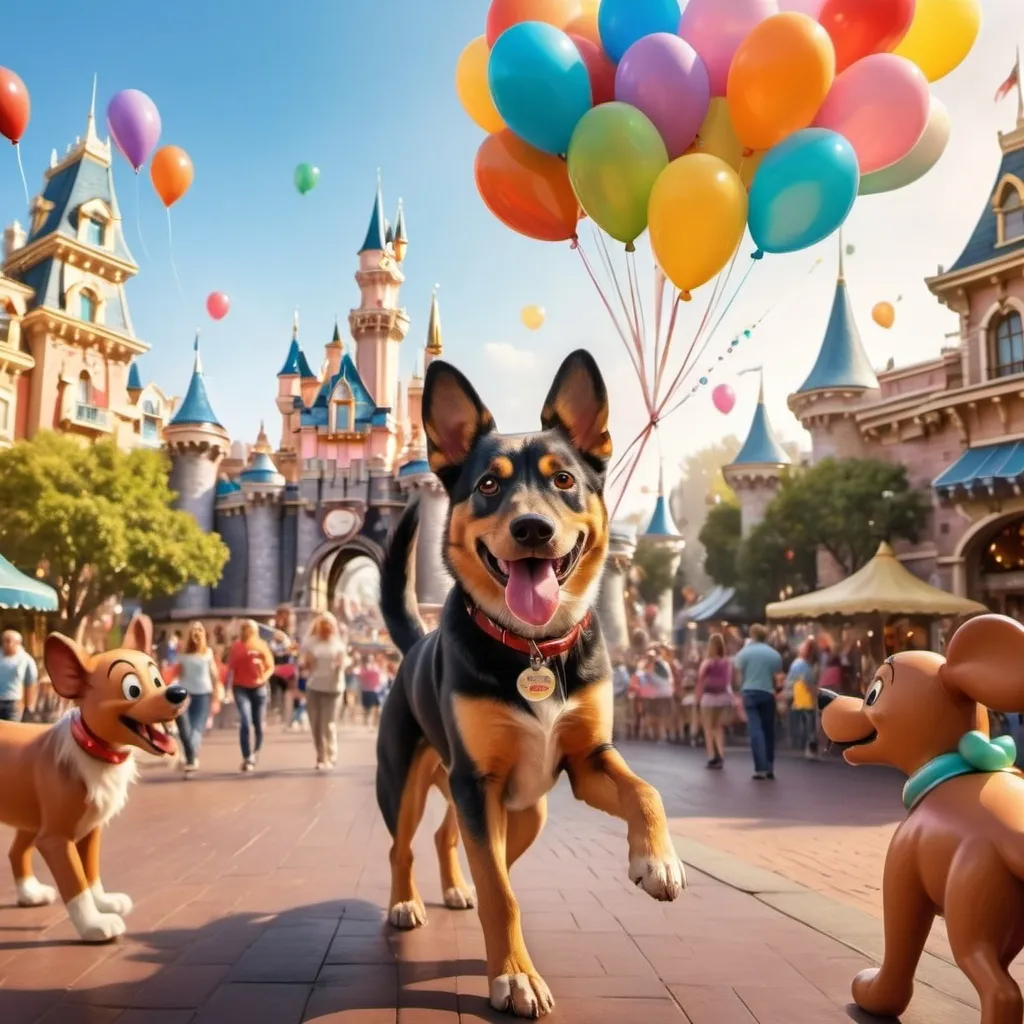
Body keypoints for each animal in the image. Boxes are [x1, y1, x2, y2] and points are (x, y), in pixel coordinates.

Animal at [378, 350, 688, 1015]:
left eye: (563, 480)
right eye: (489, 486)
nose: (531, 529)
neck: (533, 647)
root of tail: (415, 643)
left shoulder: (588, 760)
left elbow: (645, 790)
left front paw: (658, 859)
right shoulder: (478, 783)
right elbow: (503, 894)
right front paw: (514, 976)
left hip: (524, 810)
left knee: (449, 838)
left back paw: (455, 888)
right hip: (410, 783)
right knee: (406, 846)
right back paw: (406, 902)